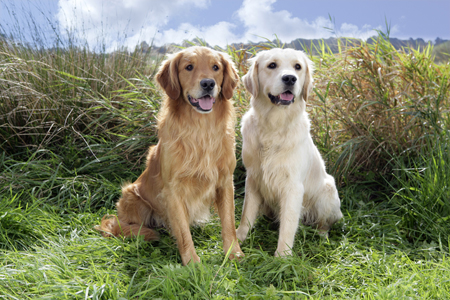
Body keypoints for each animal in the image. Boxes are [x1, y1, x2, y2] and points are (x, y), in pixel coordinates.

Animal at [95, 47, 243, 264]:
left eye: (216, 67)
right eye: (189, 67)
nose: (208, 83)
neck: (201, 130)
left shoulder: (225, 181)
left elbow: (229, 223)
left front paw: (234, 253)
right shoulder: (173, 190)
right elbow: (182, 231)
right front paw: (192, 262)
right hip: (132, 196)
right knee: (122, 226)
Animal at [236, 48, 342, 256]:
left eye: (297, 67)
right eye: (272, 65)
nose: (290, 78)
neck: (273, 126)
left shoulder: (293, 186)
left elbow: (288, 224)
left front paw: (282, 256)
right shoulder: (253, 178)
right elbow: (246, 214)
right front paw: (238, 239)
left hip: (327, 191)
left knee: (324, 224)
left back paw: (322, 237)